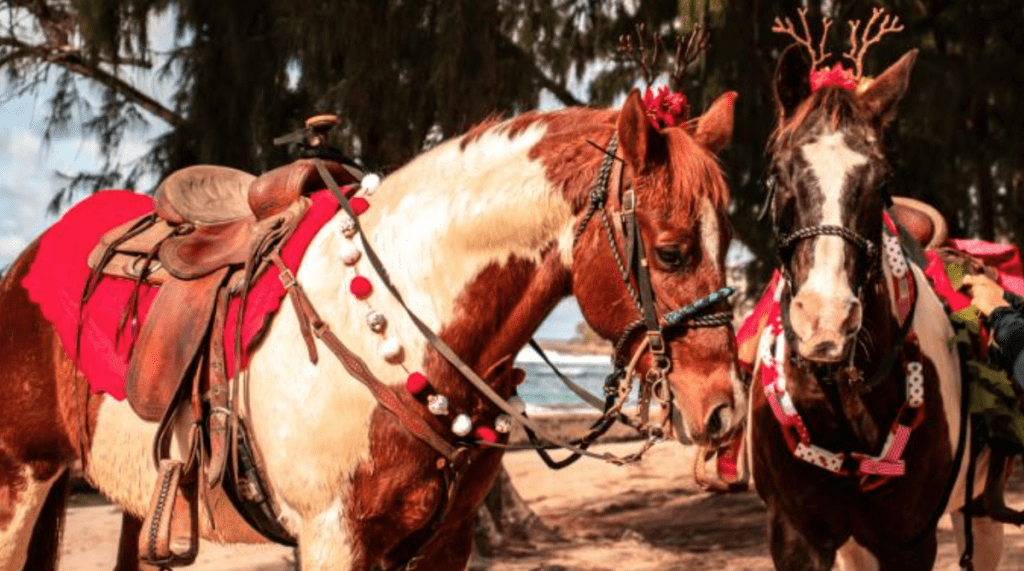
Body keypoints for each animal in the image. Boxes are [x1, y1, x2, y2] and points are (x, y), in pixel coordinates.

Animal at [0, 89, 745, 571]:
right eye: (672, 251)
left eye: (729, 240)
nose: (724, 410)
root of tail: (26, 262)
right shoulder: (334, 537)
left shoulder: (446, 543)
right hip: (21, 479)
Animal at [749, 43, 1003, 571]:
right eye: (778, 171)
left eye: (880, 177)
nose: (825, 319)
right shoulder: (797, 536)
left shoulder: (907, 542)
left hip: (982, 509)